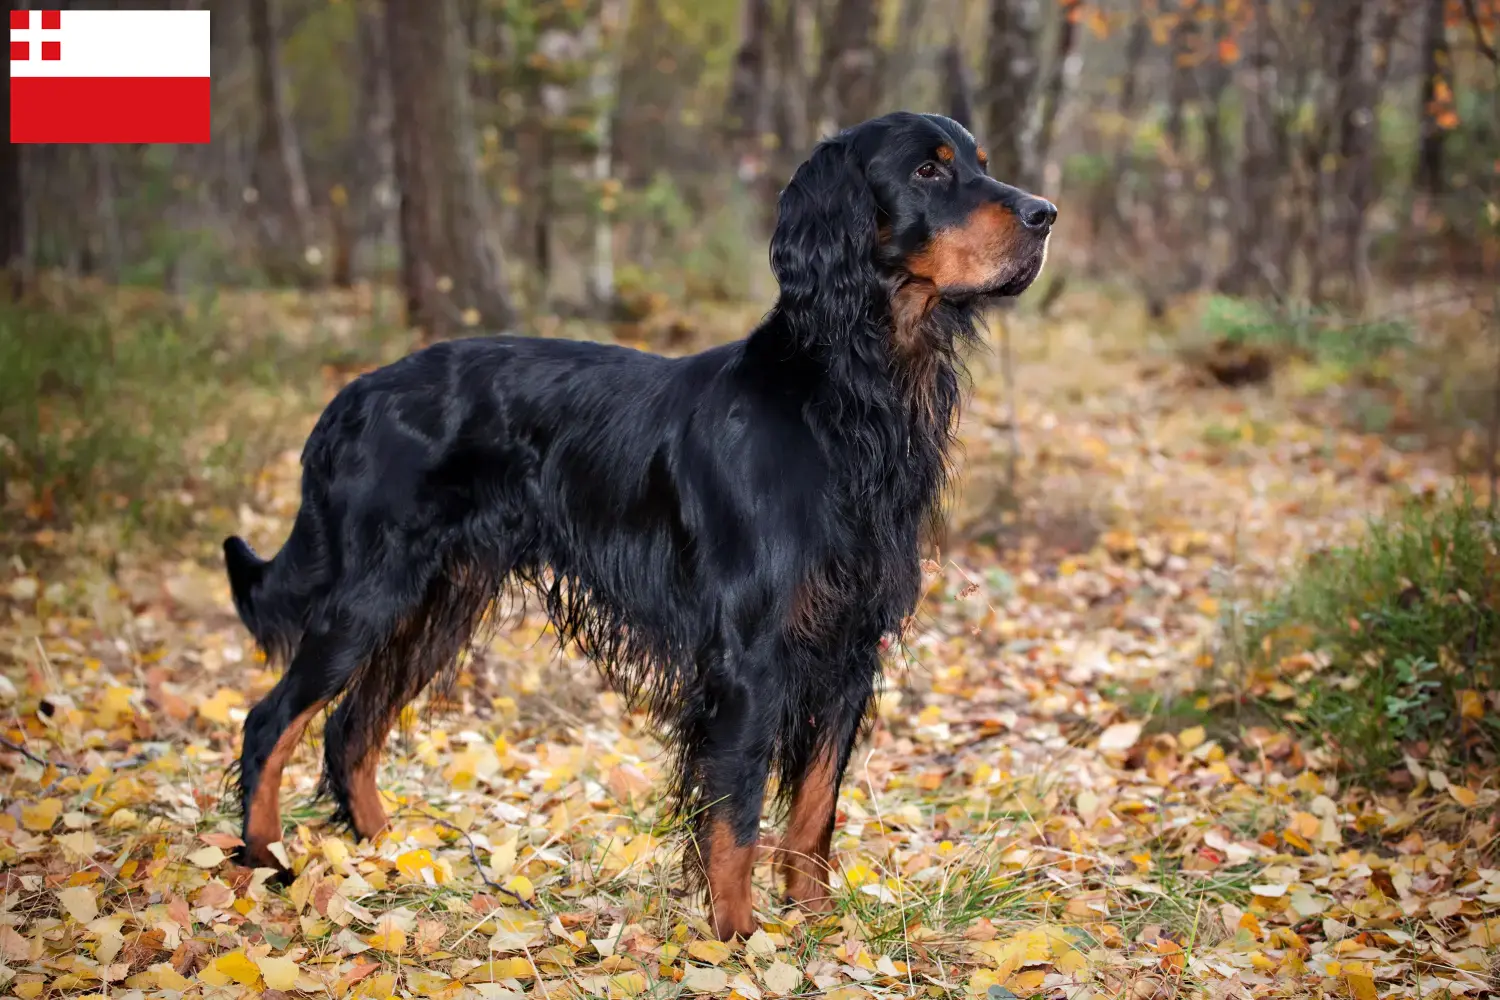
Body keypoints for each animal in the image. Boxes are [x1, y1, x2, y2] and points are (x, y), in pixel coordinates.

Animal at [228, 109, 1062, 941]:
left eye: (981, 161)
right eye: (928, 170)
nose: (1046, 214)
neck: (845, 400)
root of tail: (352, 396)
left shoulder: (850, 643)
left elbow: (815, 809)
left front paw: (818, 926)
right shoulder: (750, 653)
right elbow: (736, 817)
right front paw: (740, 942)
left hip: (440, 601)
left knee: (349, 730)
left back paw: (396, 861)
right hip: (369, 594)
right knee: (272, 720)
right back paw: (268, 860)